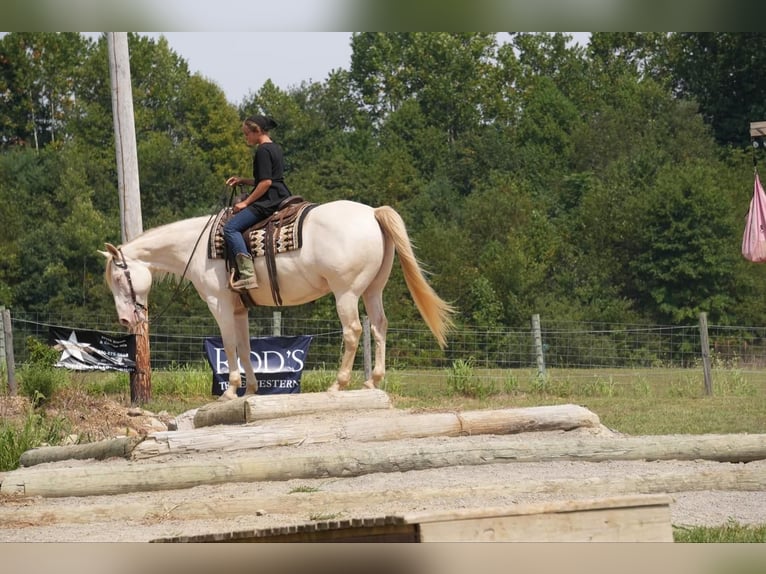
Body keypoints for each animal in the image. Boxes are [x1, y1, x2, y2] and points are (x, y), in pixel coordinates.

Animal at [102, 201, 456, 400]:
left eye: (119, 278)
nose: (125, 320)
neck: (198, 247)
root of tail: (371, 214)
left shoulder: (219, 304)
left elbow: (228, 344)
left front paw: (230, 391)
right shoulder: (239, 308)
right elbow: (245, 347)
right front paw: (251, 390)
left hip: (346, 292)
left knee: (353, 331)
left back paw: (338, 384)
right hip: (372, 290)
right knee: (378, 327)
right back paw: (372, 382)